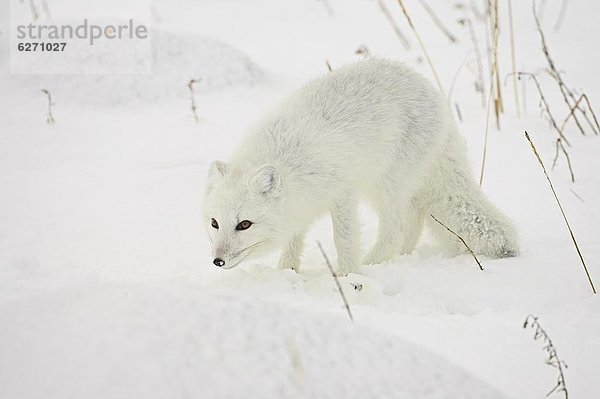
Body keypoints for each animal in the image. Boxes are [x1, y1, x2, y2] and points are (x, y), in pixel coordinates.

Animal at [204, 58, 516, 276]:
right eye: (214, 223)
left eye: (244, 224)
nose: (217, 261)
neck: (287, 160)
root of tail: (435, 94)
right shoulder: (299, 206)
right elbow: (294, 241)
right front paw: (286, 273)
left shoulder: (342, 193)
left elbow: (343, 239)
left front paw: (349, 277)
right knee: (412, 219)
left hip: (385, 184)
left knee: (396, 228)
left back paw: (374, 265)